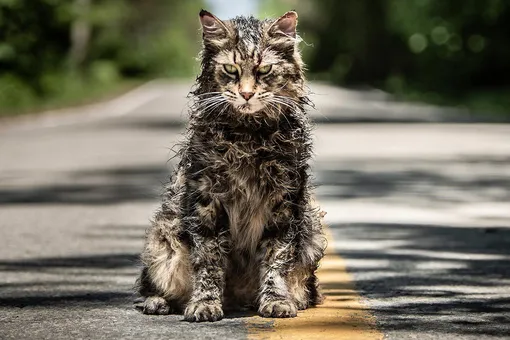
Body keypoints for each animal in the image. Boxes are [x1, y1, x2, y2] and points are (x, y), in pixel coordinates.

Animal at [135, 8, 326, 322]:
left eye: (264, 70)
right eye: (230, 70)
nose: (246, 94)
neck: (248, 137)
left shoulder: (284, 202)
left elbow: (276, 259)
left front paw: (276, 300)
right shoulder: (207, 201)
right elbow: (209, 261)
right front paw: (205, 303)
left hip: (312, 233)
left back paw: (290, 299)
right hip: (163, 239)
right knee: (152, 285)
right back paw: (158, 302)